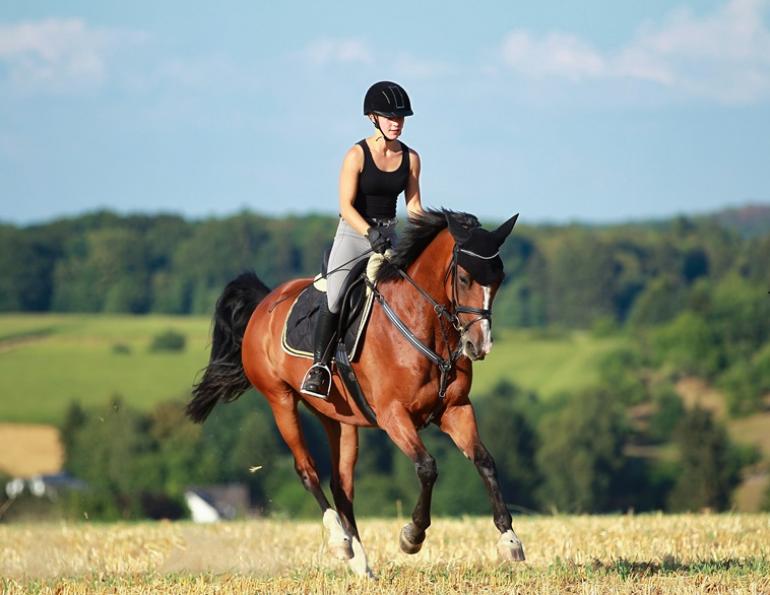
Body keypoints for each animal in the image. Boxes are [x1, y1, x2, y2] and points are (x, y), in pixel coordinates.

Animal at [186, 209, 524, 577]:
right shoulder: (393, 415)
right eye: (464, 279)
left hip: (338, 418)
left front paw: (509, 540)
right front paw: (412, 535)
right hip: (280, 400)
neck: (426, 327)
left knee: (342, 485)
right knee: (308, 471)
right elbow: (427, 467)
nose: (479, 346)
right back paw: (339, 541)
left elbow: (485, 461)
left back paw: (361, 563)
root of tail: (266, 302)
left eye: (500, 279)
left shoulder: (456, 409)